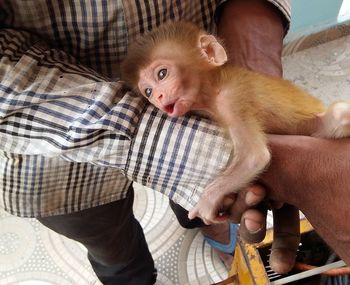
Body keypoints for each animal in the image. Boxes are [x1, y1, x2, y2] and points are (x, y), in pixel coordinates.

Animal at [121, 20, 350, 224]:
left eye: (162, 74)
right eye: (148, 91)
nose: (158, 97)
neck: (212, 89)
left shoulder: (232, 98)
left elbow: (254, 156)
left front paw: (207, 201)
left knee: (339, 114)